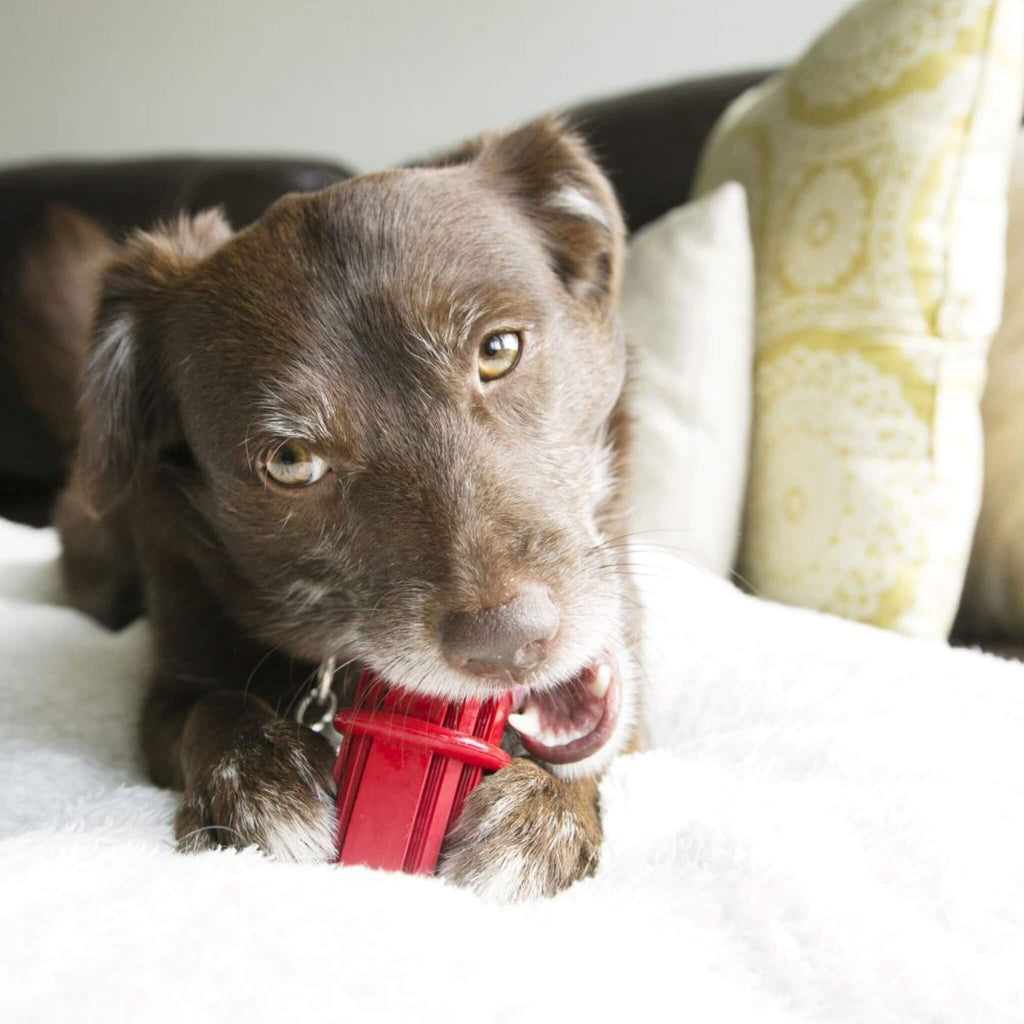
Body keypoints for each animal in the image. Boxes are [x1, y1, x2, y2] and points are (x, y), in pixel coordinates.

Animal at [9, 121, 638, 905]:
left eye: (497, 350)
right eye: (289, 461)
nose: (509, 644)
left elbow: (590, 753)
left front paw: (543, 807)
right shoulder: (167, 684)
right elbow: (211, 711)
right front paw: (258, 789)